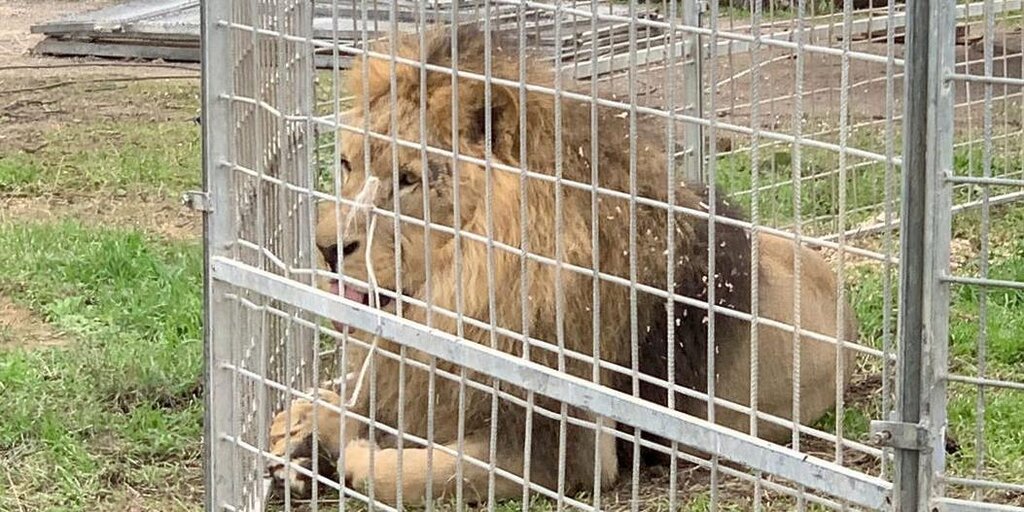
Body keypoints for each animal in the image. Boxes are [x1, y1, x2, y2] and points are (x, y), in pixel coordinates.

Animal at [266, 26, 858, 506]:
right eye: (346, 164)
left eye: (409, 180)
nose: (326, 248)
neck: (466, 287)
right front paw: (300, 432)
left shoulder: (565, 451)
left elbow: (404, 470)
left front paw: (340, 453)